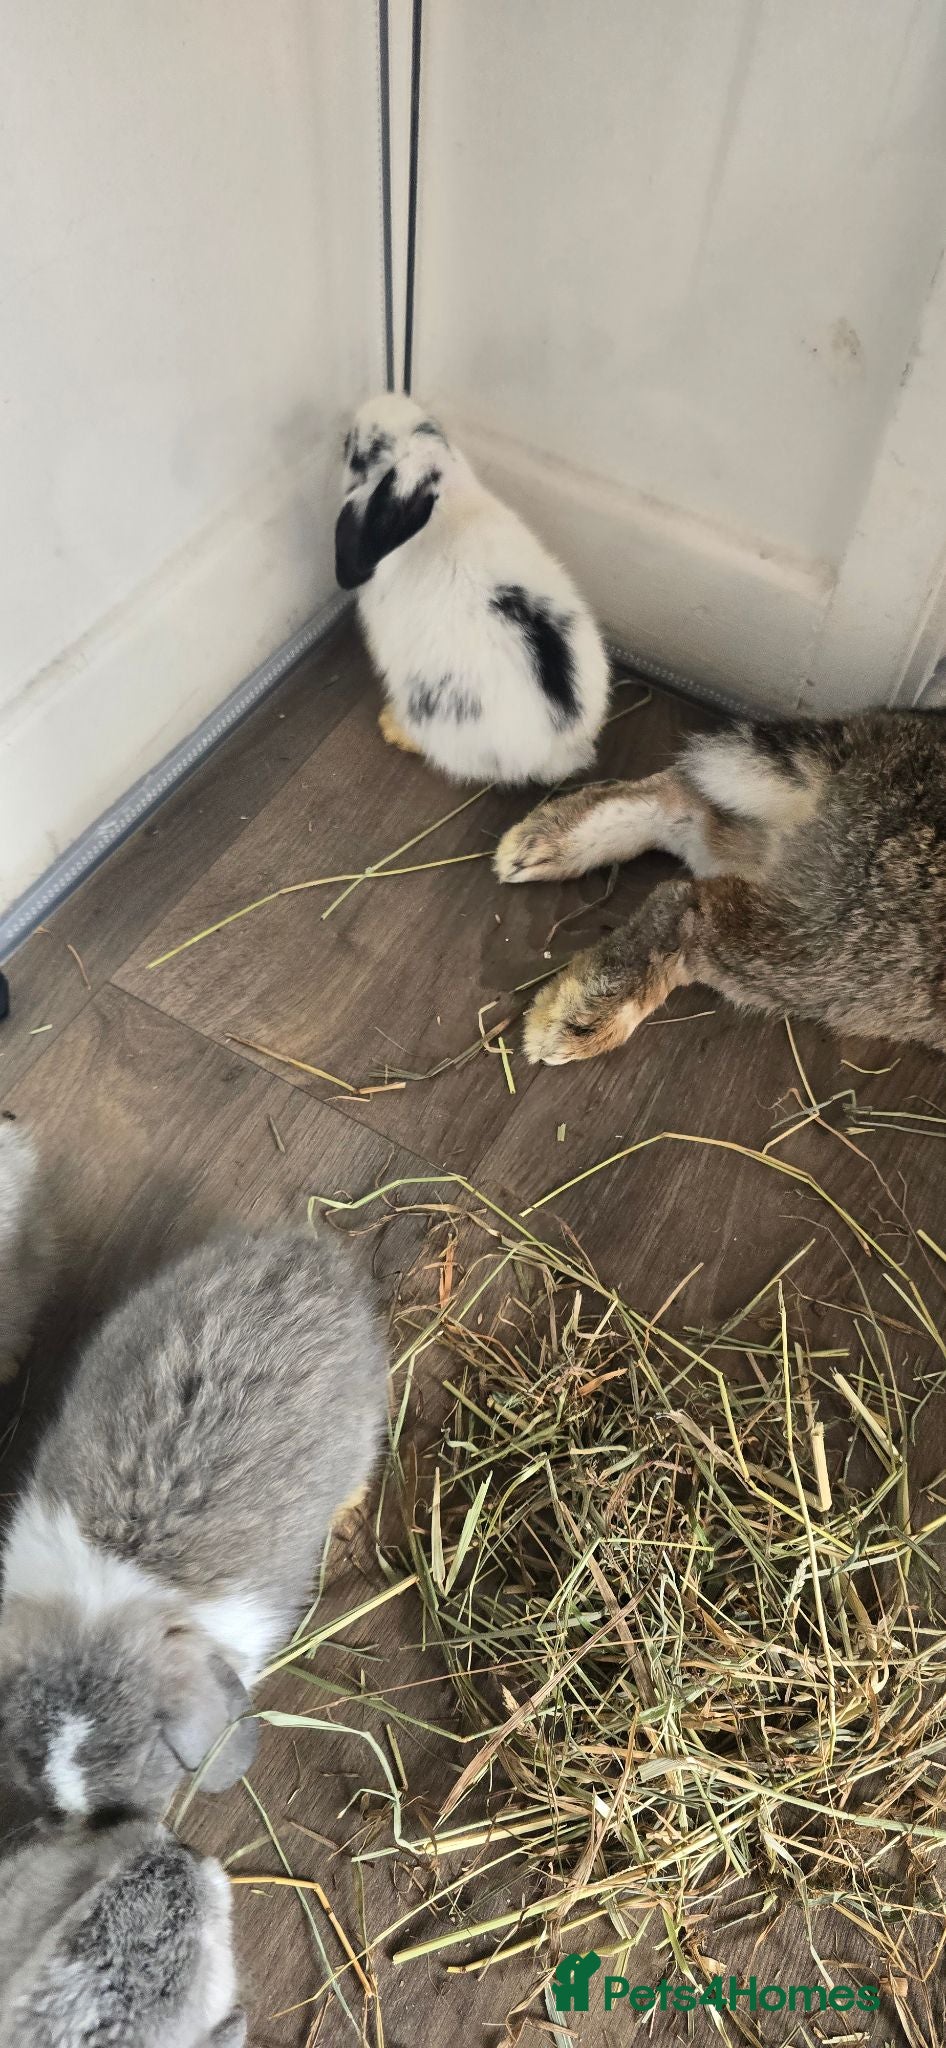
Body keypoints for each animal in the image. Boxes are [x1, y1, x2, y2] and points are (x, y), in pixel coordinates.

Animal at [335, 392, 610, 785]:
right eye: (431, 425)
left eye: (363, 453)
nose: (373, 403)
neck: (444, 501)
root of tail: (560, 747)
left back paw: (394, 727)